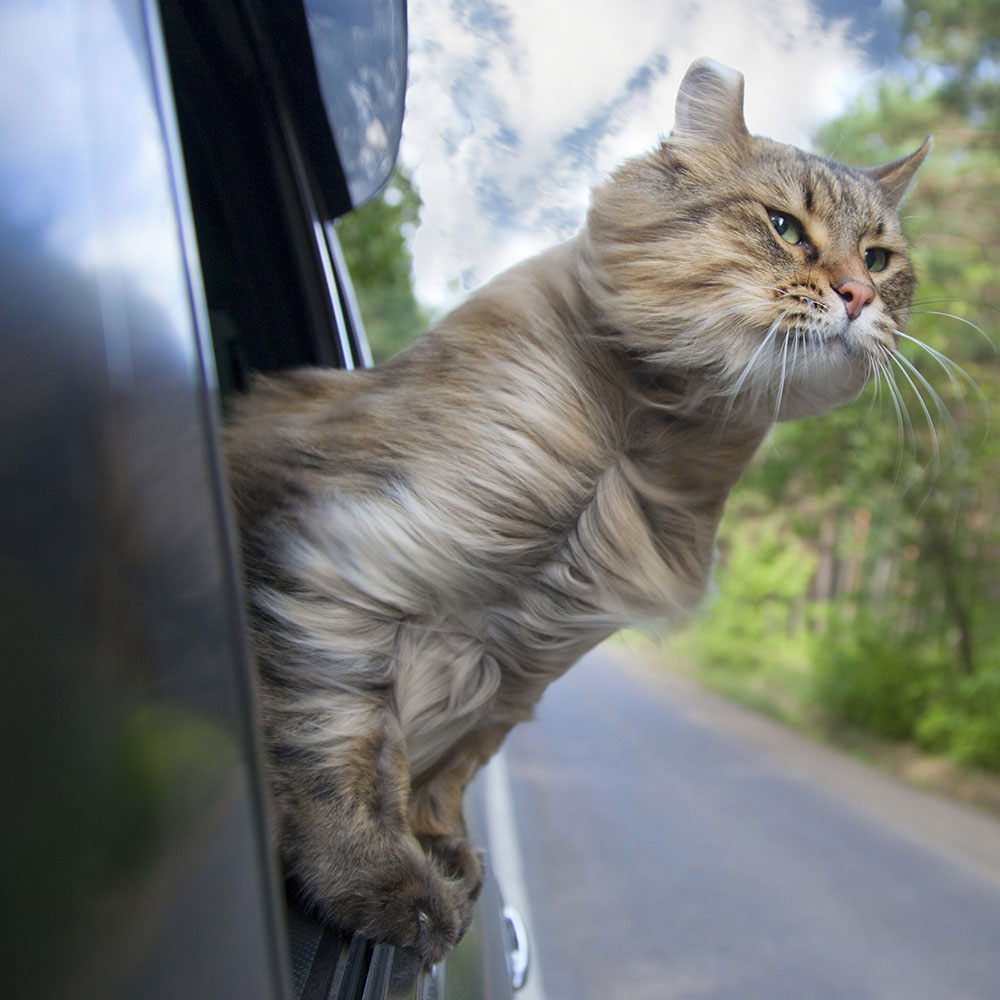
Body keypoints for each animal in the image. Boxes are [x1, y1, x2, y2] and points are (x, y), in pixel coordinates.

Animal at [225, 58, 928, 964]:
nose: (857, 294)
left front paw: (439, 845)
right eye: (784, 227)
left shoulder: (528, 660)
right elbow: (344, 744)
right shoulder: (345, 562)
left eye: (880, 257)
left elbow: (450, 766)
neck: (637, 441)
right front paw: (386, 882)